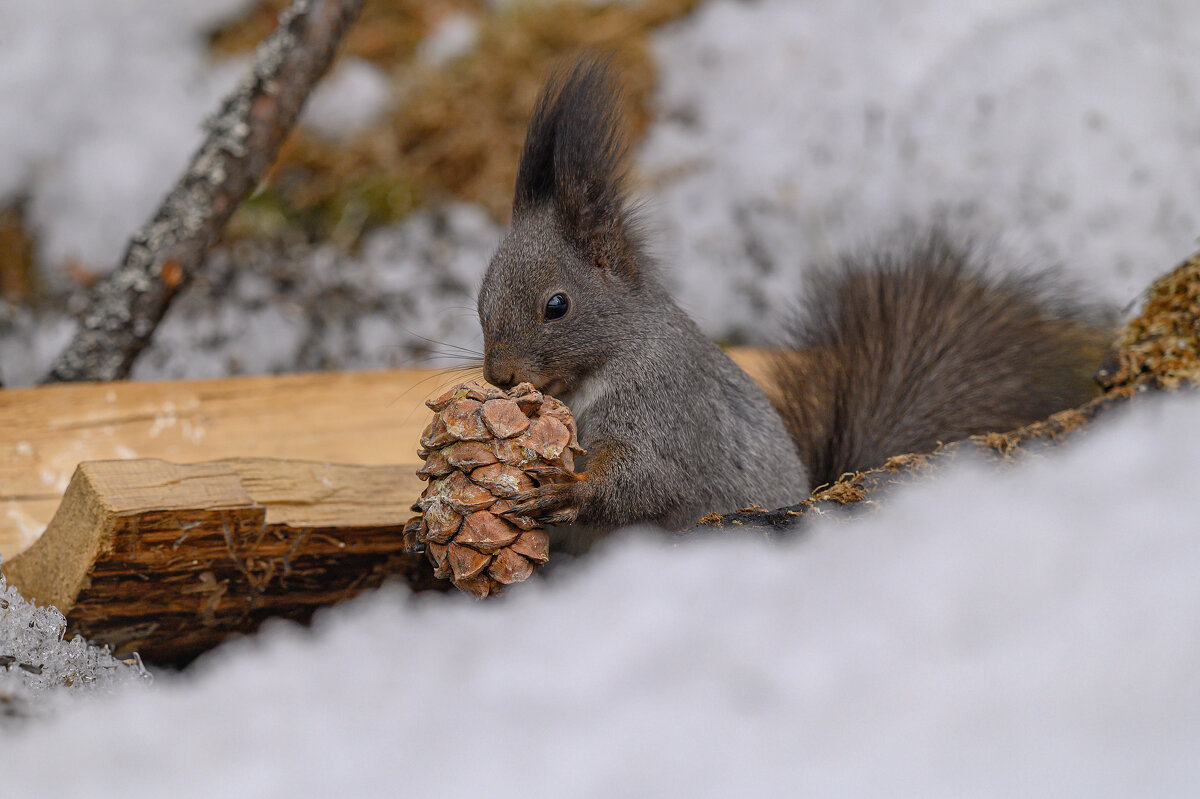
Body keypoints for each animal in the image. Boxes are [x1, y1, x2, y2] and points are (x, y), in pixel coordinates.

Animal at [475, 54, 1104, 542]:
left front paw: (566, 492)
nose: (500, 378)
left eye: (557, 305)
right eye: (479, 301)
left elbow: (646, 477)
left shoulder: (668, 407)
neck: (600, 367)